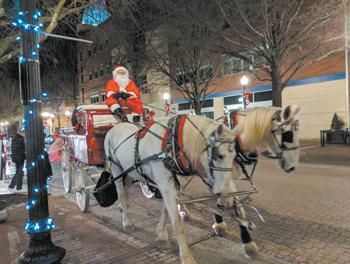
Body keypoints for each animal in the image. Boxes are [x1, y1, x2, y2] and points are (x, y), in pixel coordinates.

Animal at [104, 115, 241, 264]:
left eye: (235, 157)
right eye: (219, 155)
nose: (229, 198)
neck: (172, 144)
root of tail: (113, 128)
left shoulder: (171, 185)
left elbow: (165, 211)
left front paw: (161, 235)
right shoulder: (165, 185)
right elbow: (177, 223)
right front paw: (186, 256)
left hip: (129, 172)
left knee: (126, 190)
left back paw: (124, 208)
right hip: (116, 169)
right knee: (120, 192)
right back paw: (127, 222)